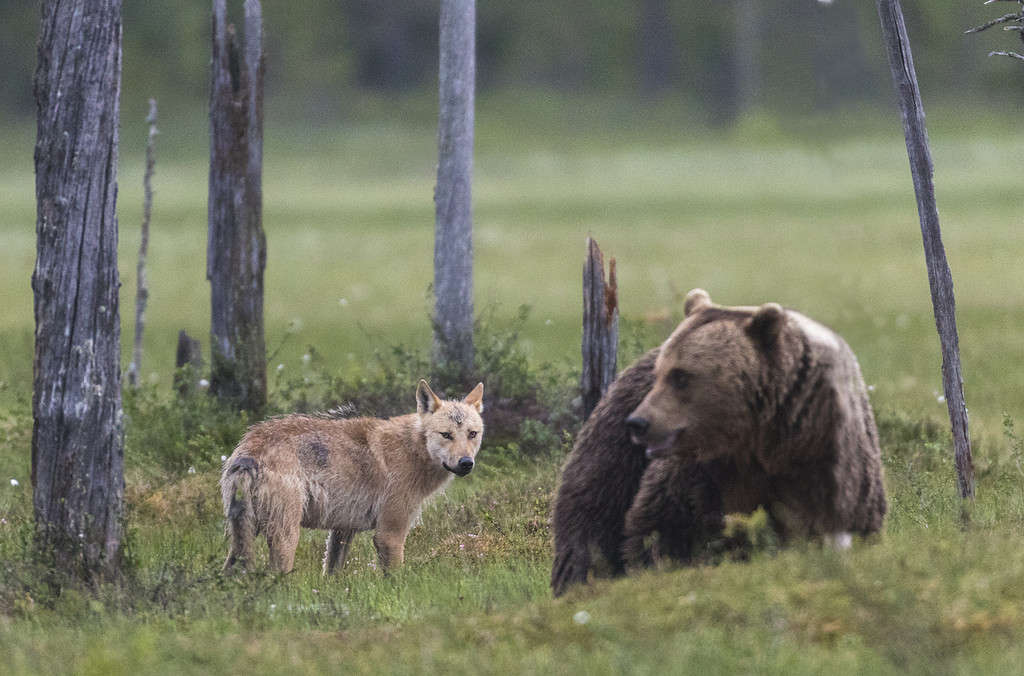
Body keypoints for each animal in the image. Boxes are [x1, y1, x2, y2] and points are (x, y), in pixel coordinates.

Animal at [552, 288, 888, 594]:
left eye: (681, 376)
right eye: (663, 373)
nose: (638, 422)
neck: (757, 443)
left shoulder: (824, 463)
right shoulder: (700, 474)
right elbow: (663, 527)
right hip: (614, 448)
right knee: (591, 509)